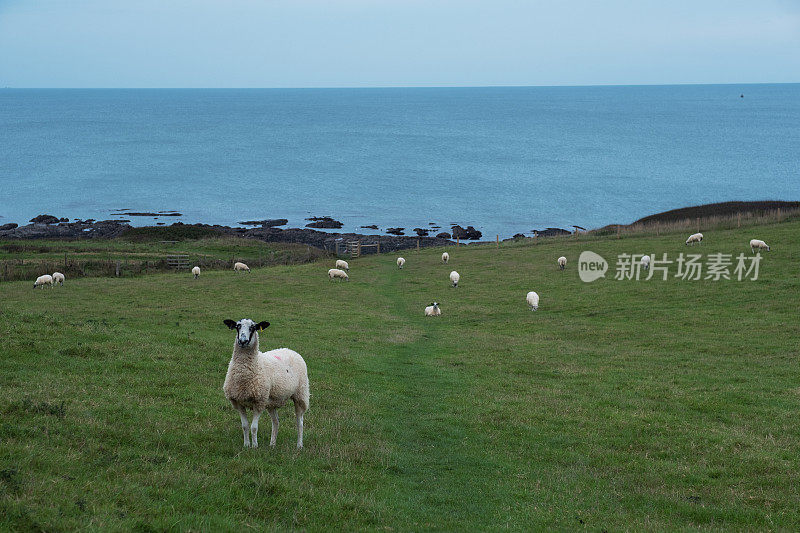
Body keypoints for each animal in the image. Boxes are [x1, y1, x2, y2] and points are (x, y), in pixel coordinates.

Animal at [222, 318, 310, 446]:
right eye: (238, 326)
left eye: (253, 328)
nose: (243, 341)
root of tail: (289, 349)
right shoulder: (238, 402)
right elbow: (245, 426)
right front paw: (246, 445)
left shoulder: (259, 402)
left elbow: (254, 427)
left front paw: (254, 446)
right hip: (271, 401)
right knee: (276, 421)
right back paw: (272, 444)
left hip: (301, 394)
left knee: (300, 422)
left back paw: (299, 445)